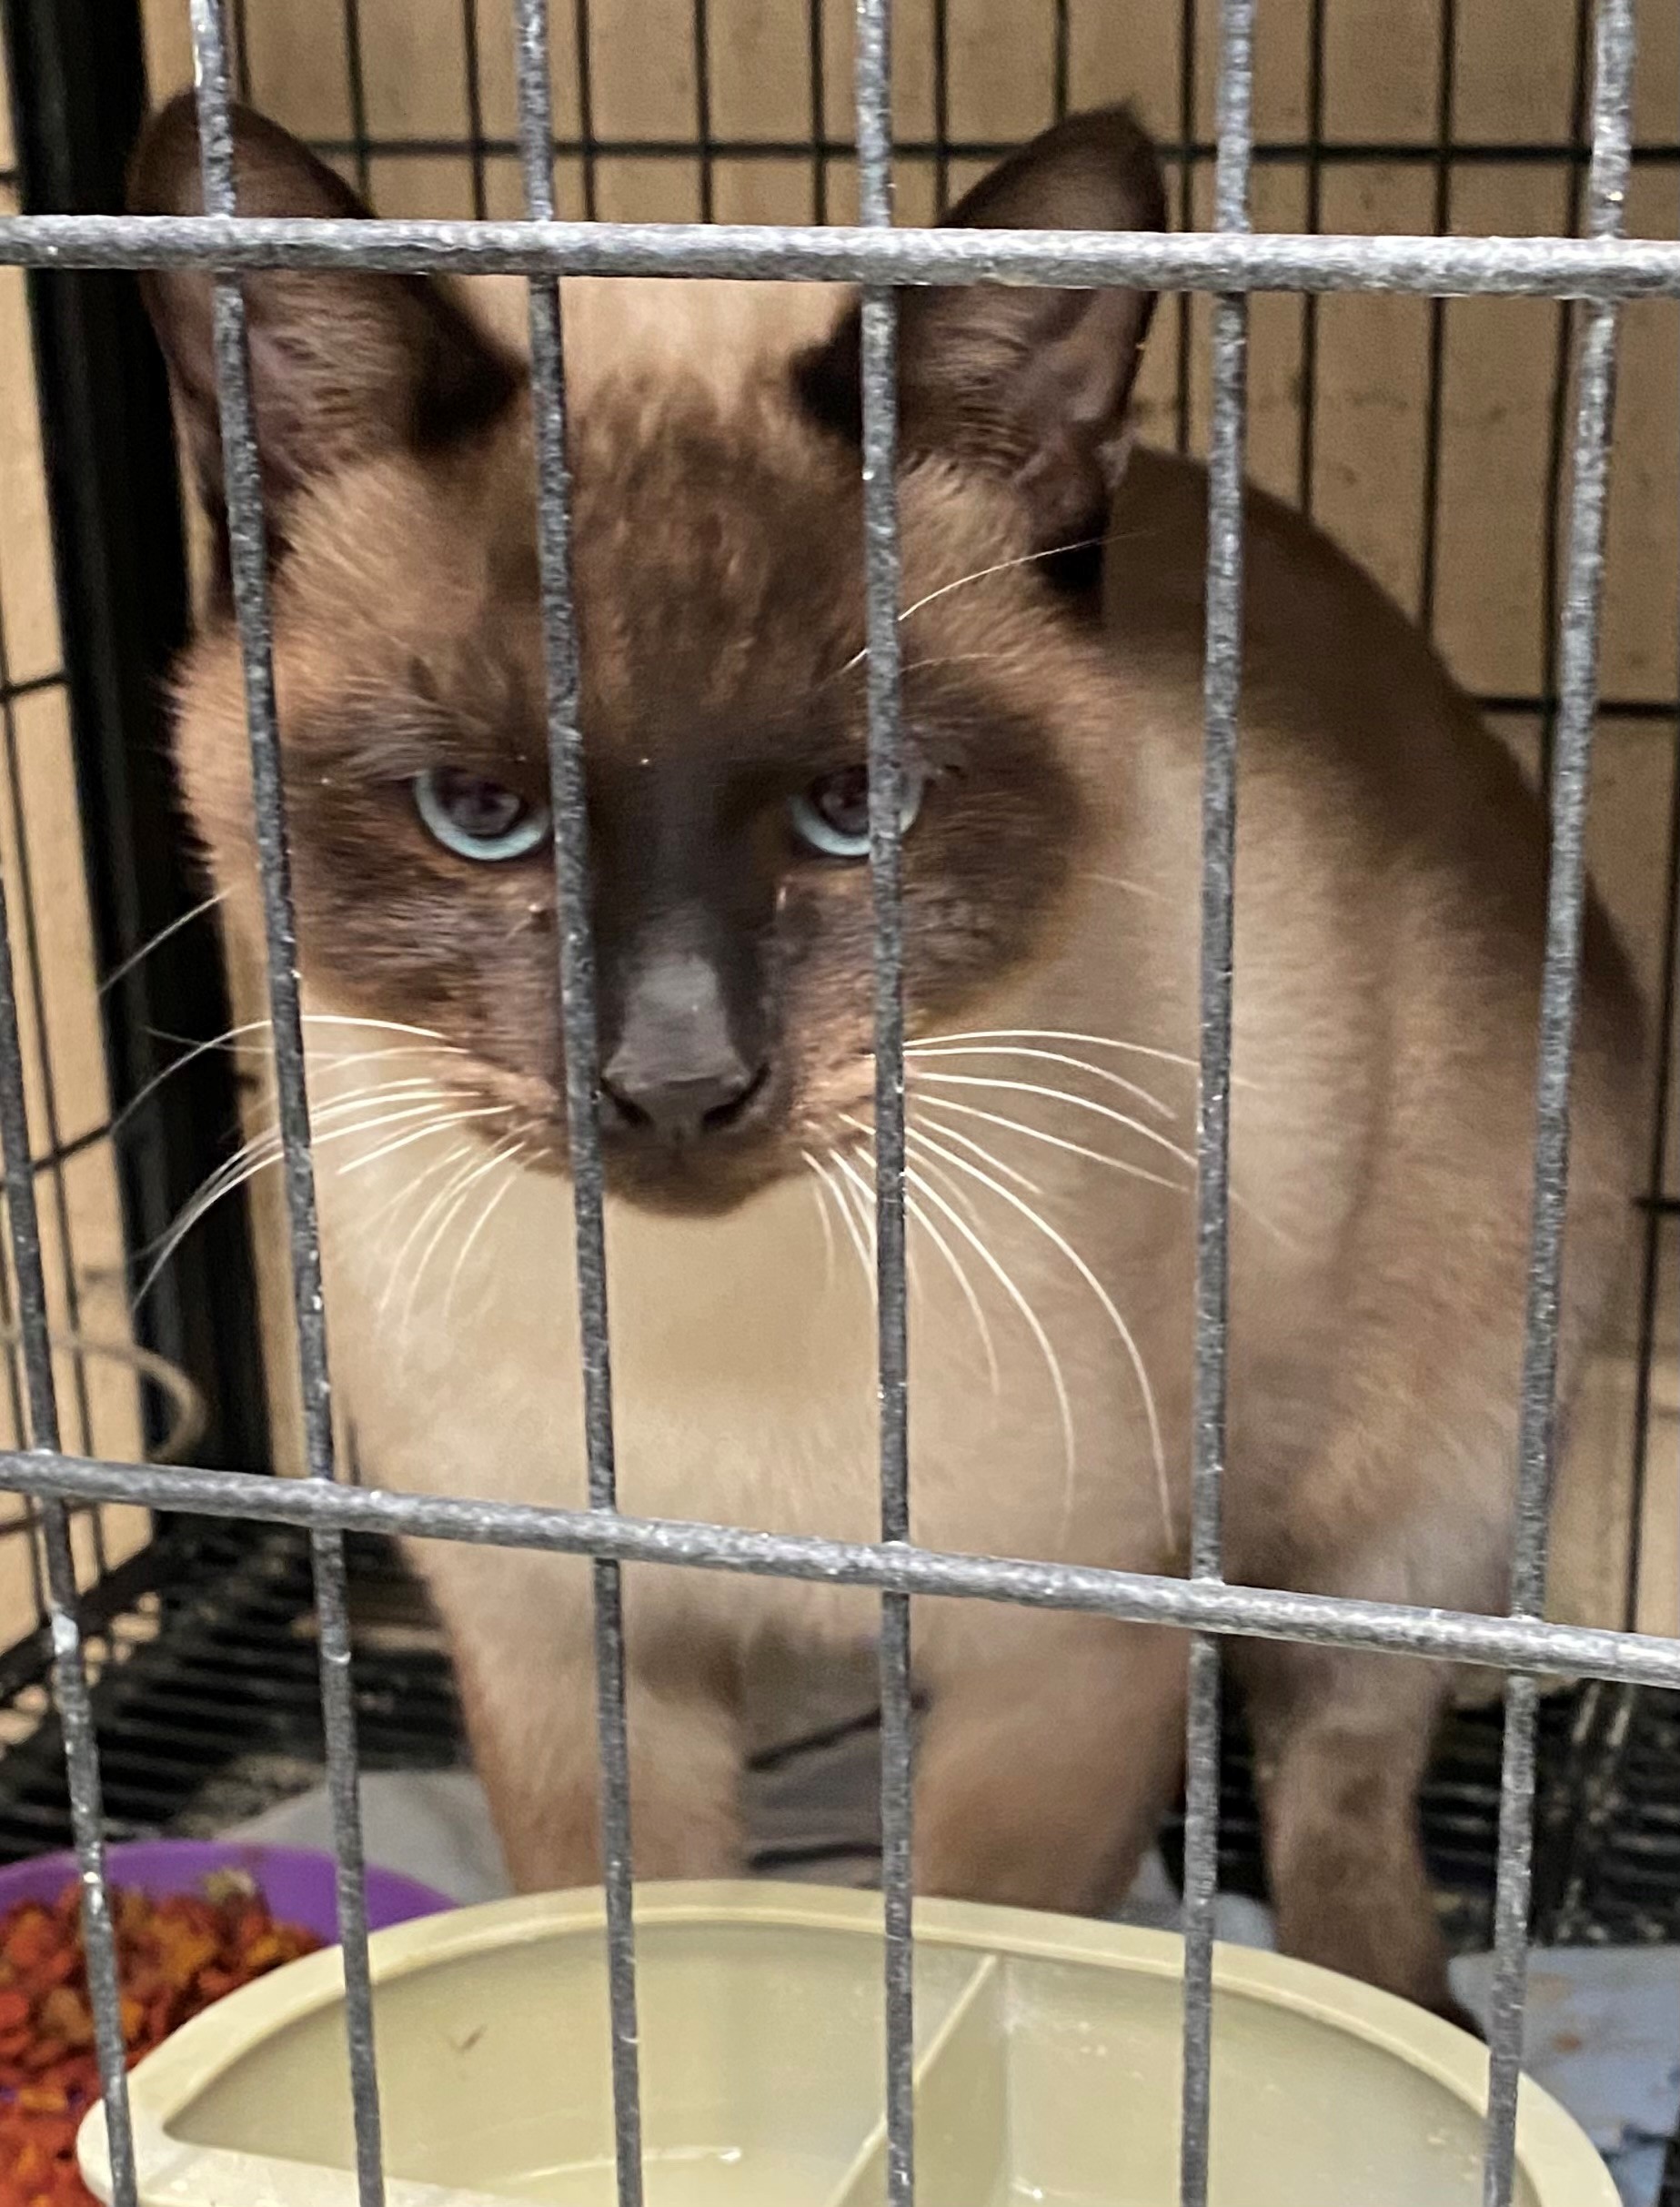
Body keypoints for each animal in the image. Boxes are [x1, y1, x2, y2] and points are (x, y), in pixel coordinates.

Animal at [134, 90, 1642, 2021]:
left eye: (857, 809)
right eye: (478, 814)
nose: (675, 1081)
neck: (695, 1334)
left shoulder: (1061, 1659)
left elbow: (959, 1951)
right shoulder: (568, 1635)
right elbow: (623, 1940)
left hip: (1430, 1472)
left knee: (1343, 1769)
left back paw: (1402, 2005)